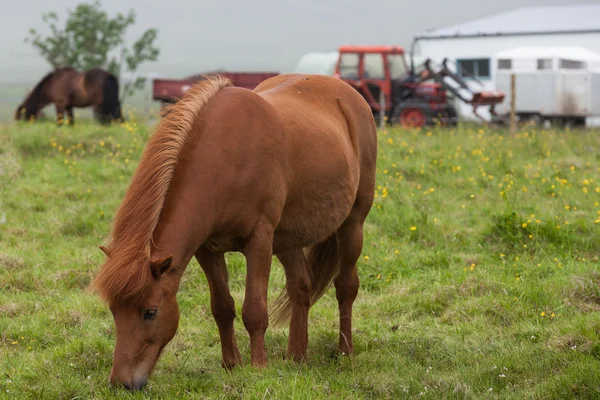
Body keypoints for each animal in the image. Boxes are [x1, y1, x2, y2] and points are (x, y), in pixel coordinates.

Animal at [88, 73, 380, 390]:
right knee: (300, 287)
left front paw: (258, 367)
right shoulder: (207, 249)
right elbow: (222, 307)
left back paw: (345, 350)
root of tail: (347, 91)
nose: (121, 382)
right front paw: (231, 364)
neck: (226, 158)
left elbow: (254, 310)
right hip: (287, 240)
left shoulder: (259, 242)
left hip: (352, 225)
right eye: (114, 310)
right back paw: (295, 356)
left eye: (150, 312)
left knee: (346, 286)